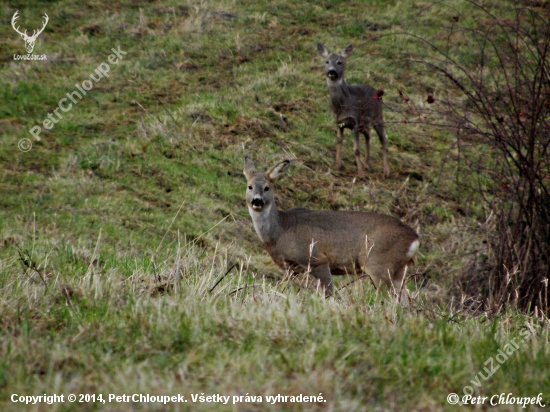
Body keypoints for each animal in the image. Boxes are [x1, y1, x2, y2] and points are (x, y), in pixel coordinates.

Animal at [244, 157, 420, 296]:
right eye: (249, 186)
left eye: (267, 187)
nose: (257, 201)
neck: (281, 230)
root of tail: (415, 238)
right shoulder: (290, 268)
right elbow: (281, 288)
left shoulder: (317, 259)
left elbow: (329, 293)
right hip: (398, 269)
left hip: (379, 264)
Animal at [316, 41, 390, 179]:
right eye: (326, 61)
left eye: (340, 62)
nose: (331, 71)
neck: (342, 105)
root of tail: (377, 93)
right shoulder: (339, 122)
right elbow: (339, 142)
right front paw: (337, 166)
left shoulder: (355, 121)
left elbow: (356, 149)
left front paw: (360, 174)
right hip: (364, 123)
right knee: (368, 135)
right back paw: (367, 165)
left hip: (378, 116)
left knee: (383, 140)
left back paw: (386, 172)